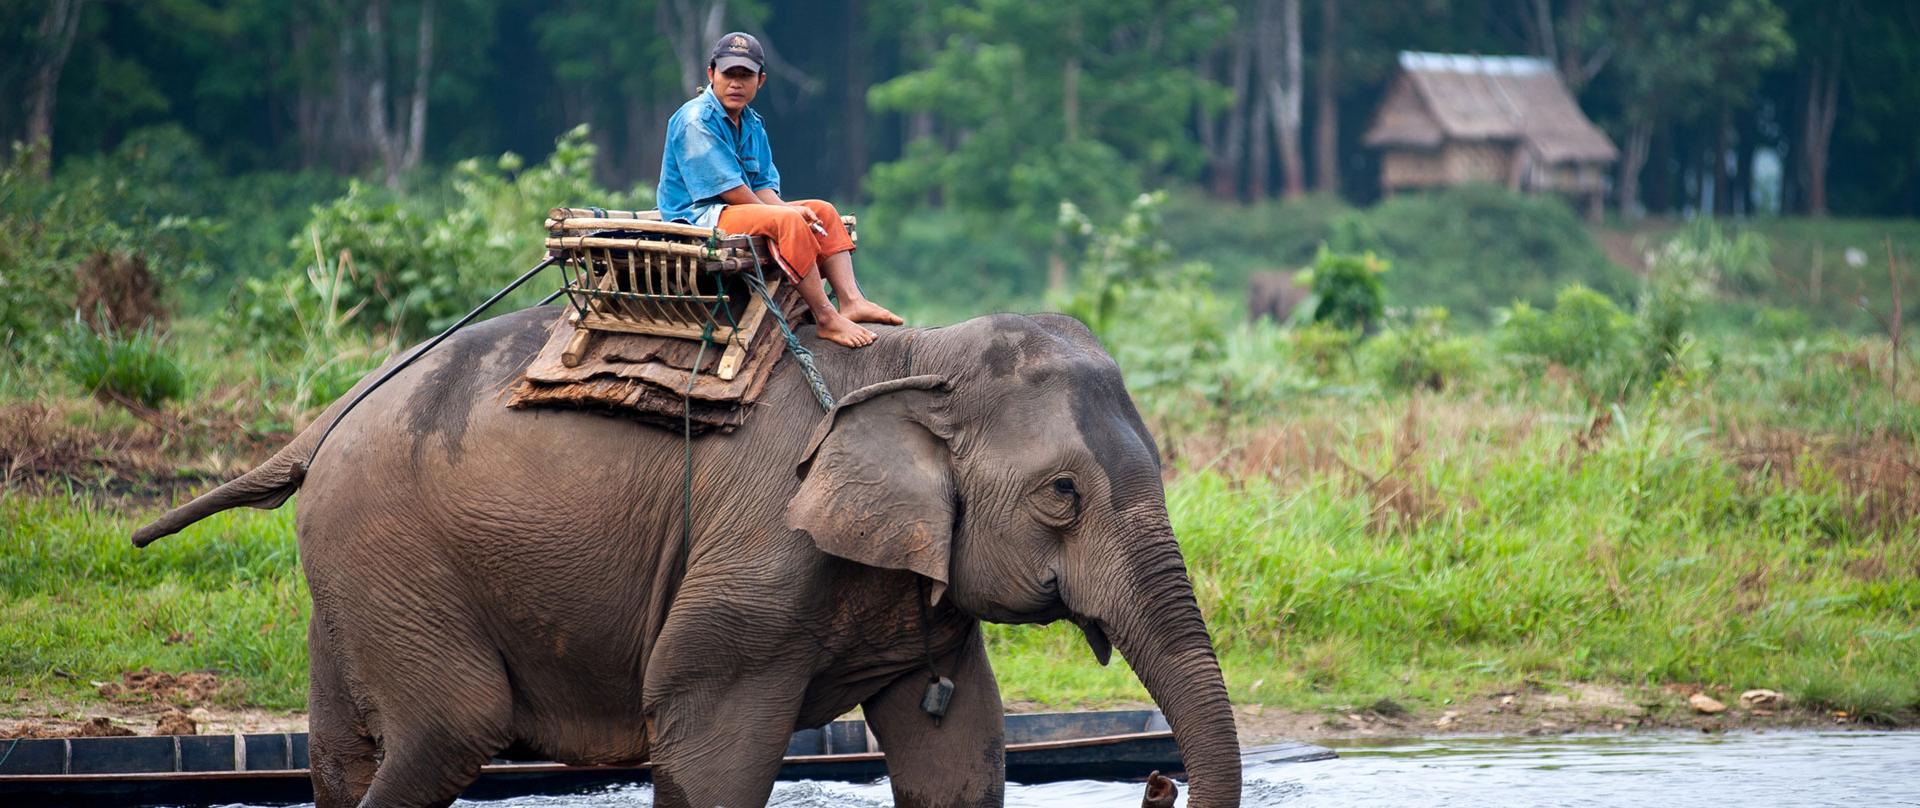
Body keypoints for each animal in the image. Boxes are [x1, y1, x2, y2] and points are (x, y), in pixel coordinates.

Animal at [132, 306, 1241, 808]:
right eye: (1063, 495)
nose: (1158, 783)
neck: (919, 356)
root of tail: (321, 423)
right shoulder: (760, 547)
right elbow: (705, 727)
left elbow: (956, 747)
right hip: (392, 549)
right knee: (451, 727)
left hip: (356, 573)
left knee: (346, 750)